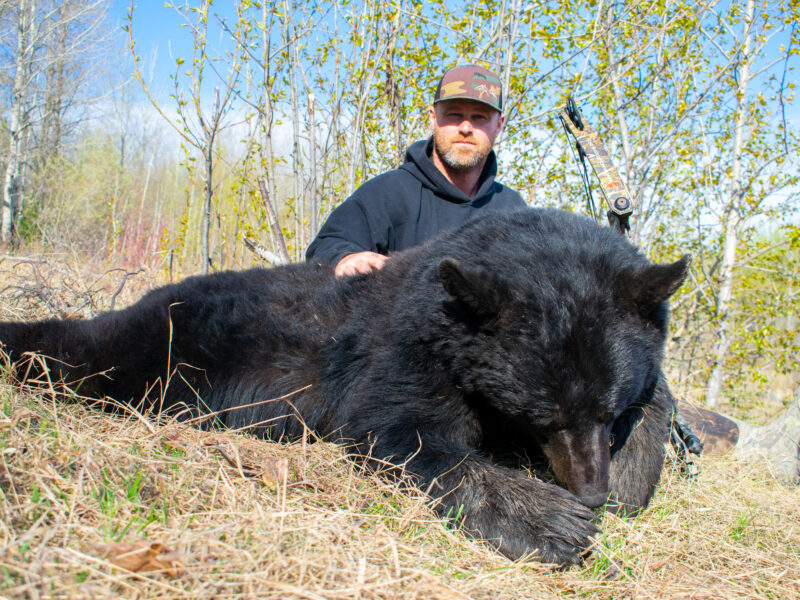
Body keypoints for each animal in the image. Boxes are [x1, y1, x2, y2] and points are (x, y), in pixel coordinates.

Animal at [0, 209, 688, 564]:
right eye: (541, 415)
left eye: (609, 410)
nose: (590, 490)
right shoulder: (404, 350)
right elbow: (401, 432)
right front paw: (555, 521)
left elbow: (658, 396)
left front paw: (629, 470)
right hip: (173, 343)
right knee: (92, 350)